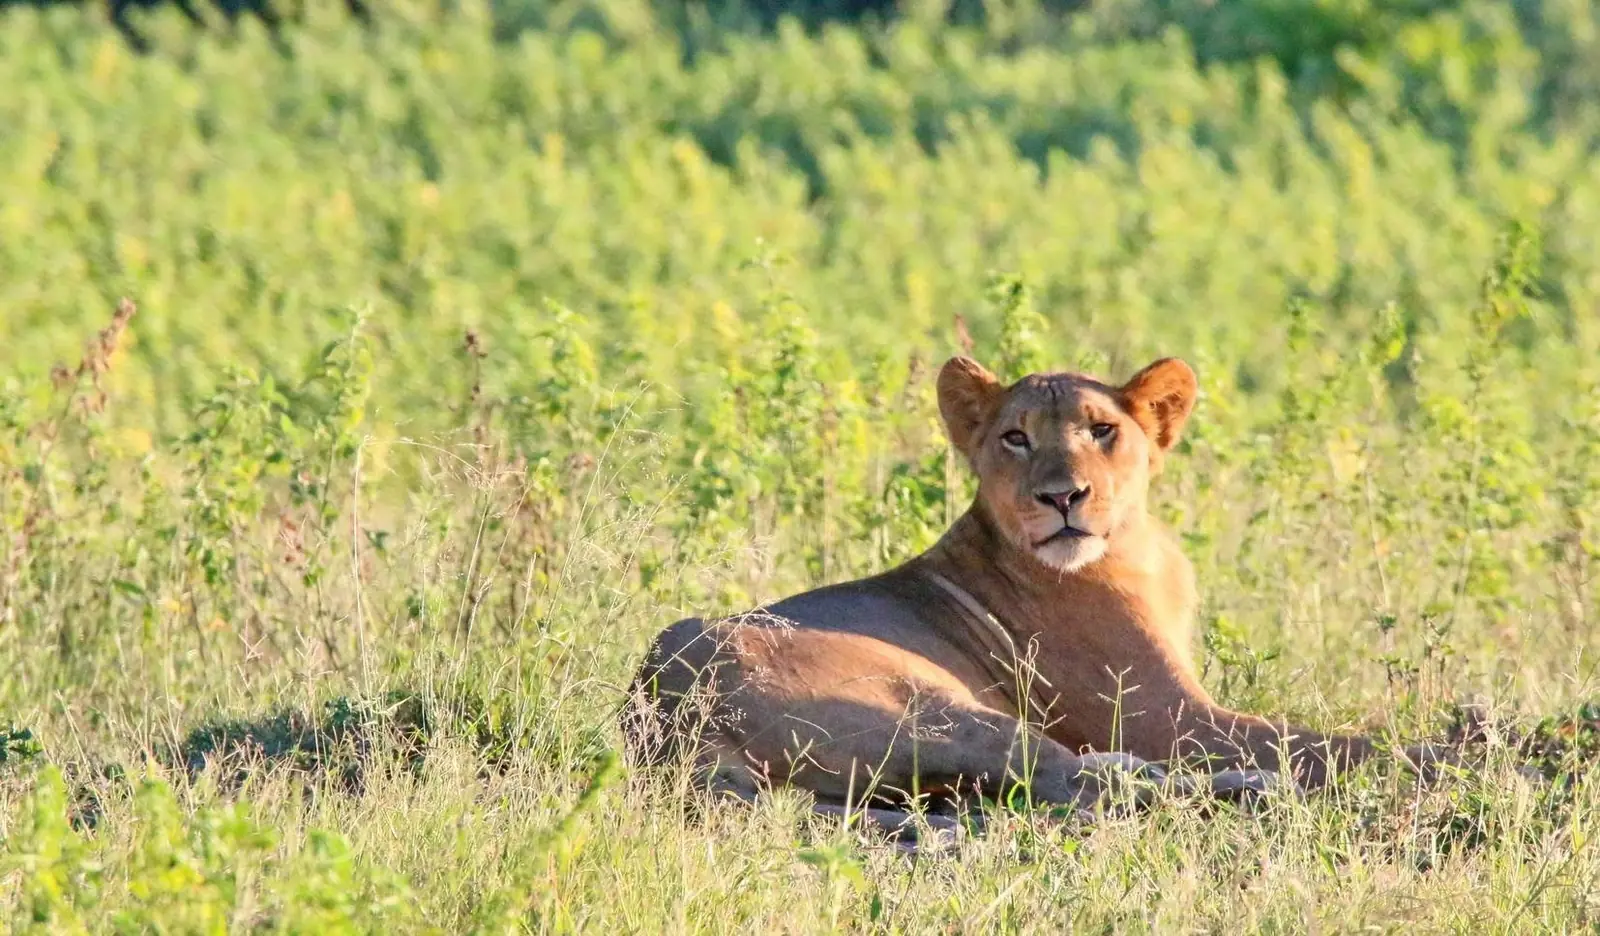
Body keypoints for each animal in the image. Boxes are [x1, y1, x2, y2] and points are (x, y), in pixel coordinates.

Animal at [622, 355, 1454, 847]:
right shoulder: (1172, 717)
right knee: (1079, 784)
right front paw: (1472, 748)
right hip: (931, 709)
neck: (1137, 547)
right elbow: (1326, 741)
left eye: (1103, 430)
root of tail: (655, 714)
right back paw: (1256, 791)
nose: (1063, 497)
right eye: (1015, 438)